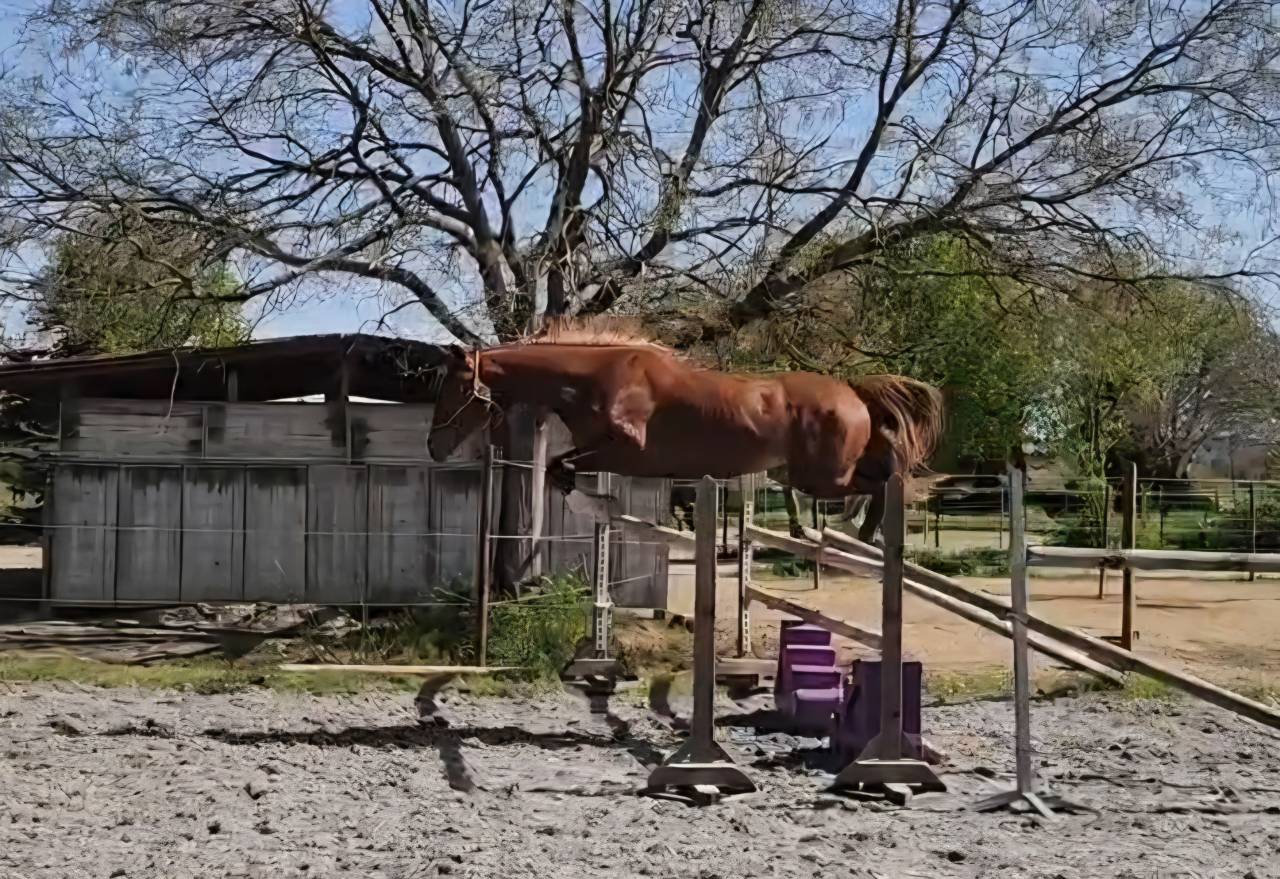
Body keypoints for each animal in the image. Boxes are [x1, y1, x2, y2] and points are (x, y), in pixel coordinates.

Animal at [426, 321, 943, 543]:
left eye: (456, 388)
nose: (433, 447)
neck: (594, 377)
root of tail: (852, 391)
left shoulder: (625, 448)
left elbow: (560, 463)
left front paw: (583, 496)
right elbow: (558, 468)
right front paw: (588, 500)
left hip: (823, 476)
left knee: (885, 481)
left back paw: (859, 532)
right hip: (809, 474)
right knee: (885, 474)